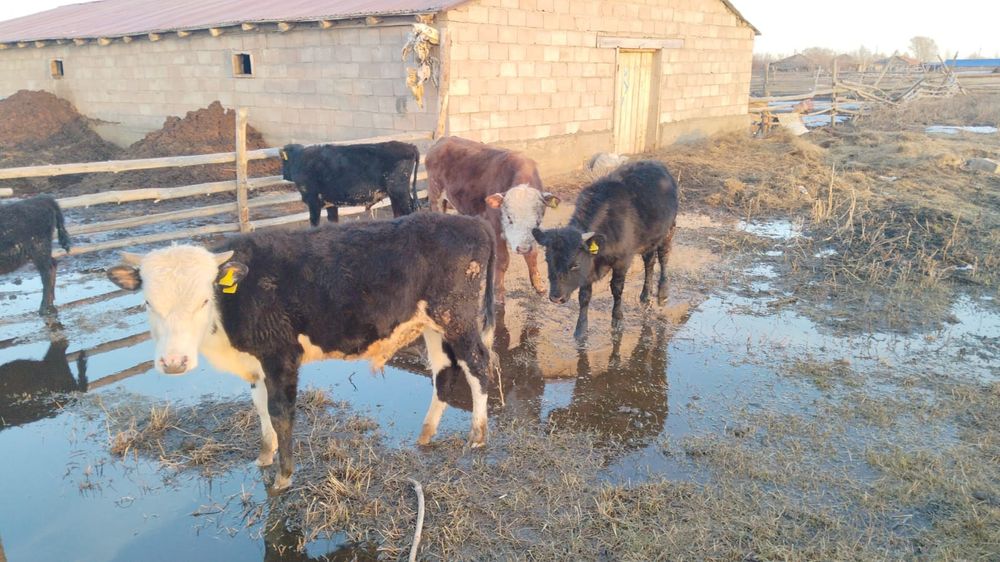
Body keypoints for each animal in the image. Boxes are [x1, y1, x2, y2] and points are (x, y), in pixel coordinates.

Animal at [106, 213, 497, 491]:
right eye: (147, 303)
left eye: (204, 300)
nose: (174, 363)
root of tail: (472, 221)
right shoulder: (257, 364)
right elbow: (260, 408)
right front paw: (264, 456)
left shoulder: (281, 357)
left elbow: (281, 414)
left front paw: (284, 476)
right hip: (432, 323)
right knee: (444, 371)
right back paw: (426, 433)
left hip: (458, 317)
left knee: (477, 365)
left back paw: (478, 437)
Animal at [279, 141, 420, 226]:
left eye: (283, 161)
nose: (284, 174)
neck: (301, 160)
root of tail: (409, 146)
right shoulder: (330, 202)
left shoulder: (313, 201)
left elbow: (314, 223)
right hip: (395, 195)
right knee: (399, 213)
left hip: (399, 192)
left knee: (409, 211)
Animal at [425, 136, 560, 303]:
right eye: (509, 217)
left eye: (537, 220)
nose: (522, 248)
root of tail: (443, 140)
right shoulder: (496, 226)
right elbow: (502, 260)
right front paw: (499, 292)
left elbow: (533, 255)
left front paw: (538, 285)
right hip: (435, 196)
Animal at [532, 160, 679, 341]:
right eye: (548, 260)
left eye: (574, 264)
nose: (555, 297)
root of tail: (657, 164)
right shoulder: (588, 268)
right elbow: (584, 296)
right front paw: (581, 329)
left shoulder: (622, 261)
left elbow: (617, 289)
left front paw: (617, 320)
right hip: (649, 240)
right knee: (649, 263)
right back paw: (645, 296)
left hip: (669, 230)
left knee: (664, 258)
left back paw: (662, 293)